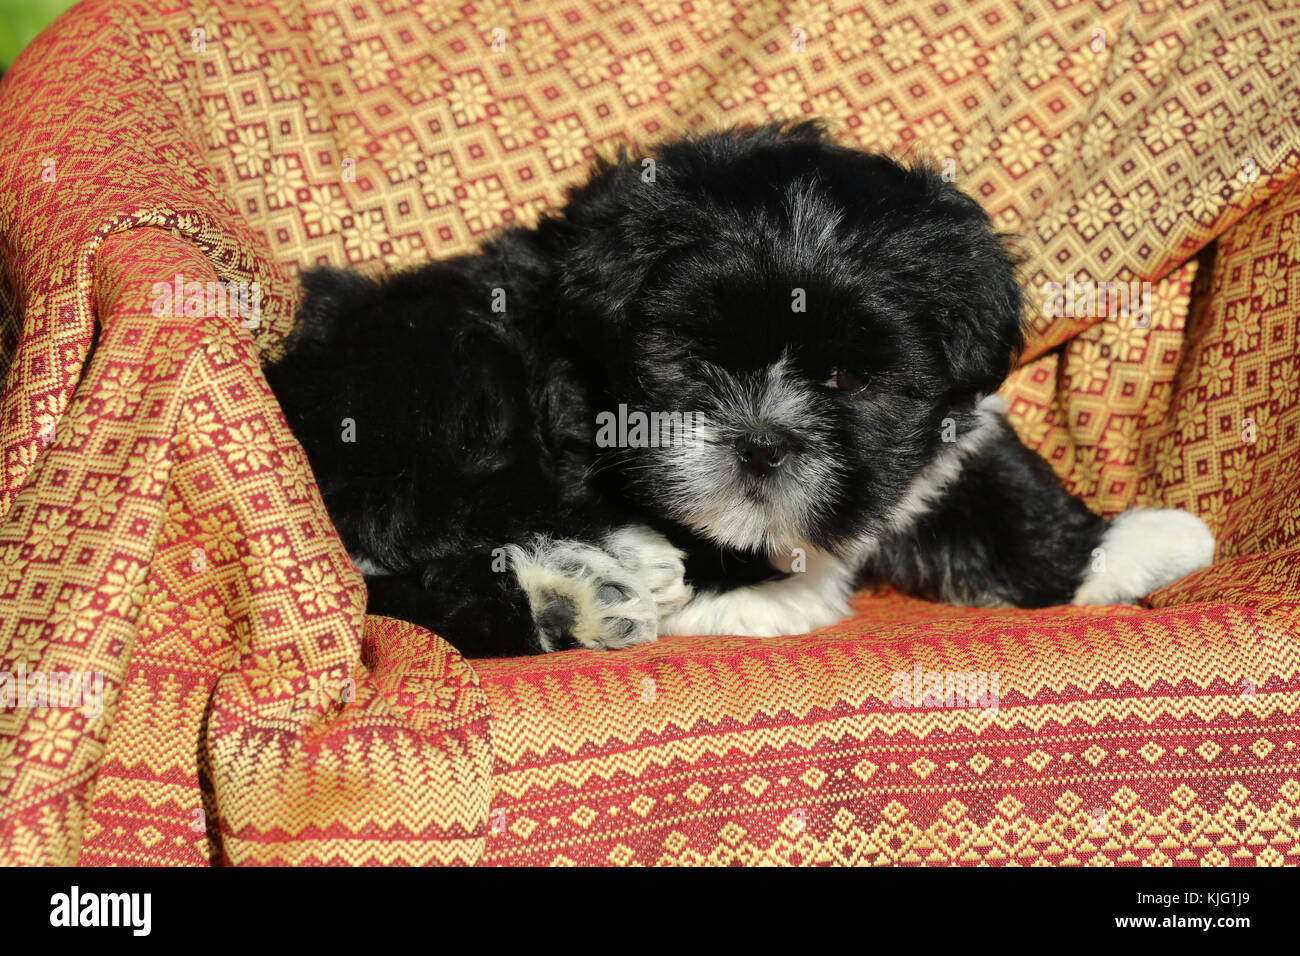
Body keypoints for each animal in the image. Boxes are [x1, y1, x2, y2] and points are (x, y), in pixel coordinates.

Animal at [266, 121, 1216, 658]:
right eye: (694, 362)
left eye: (846, 379)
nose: (763, 442)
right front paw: (763, 593)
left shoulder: (943, 436)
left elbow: (991, 483)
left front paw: (1128, 547)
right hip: (440, 365)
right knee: (425, 509)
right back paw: (611, 572)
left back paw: (575, 600)